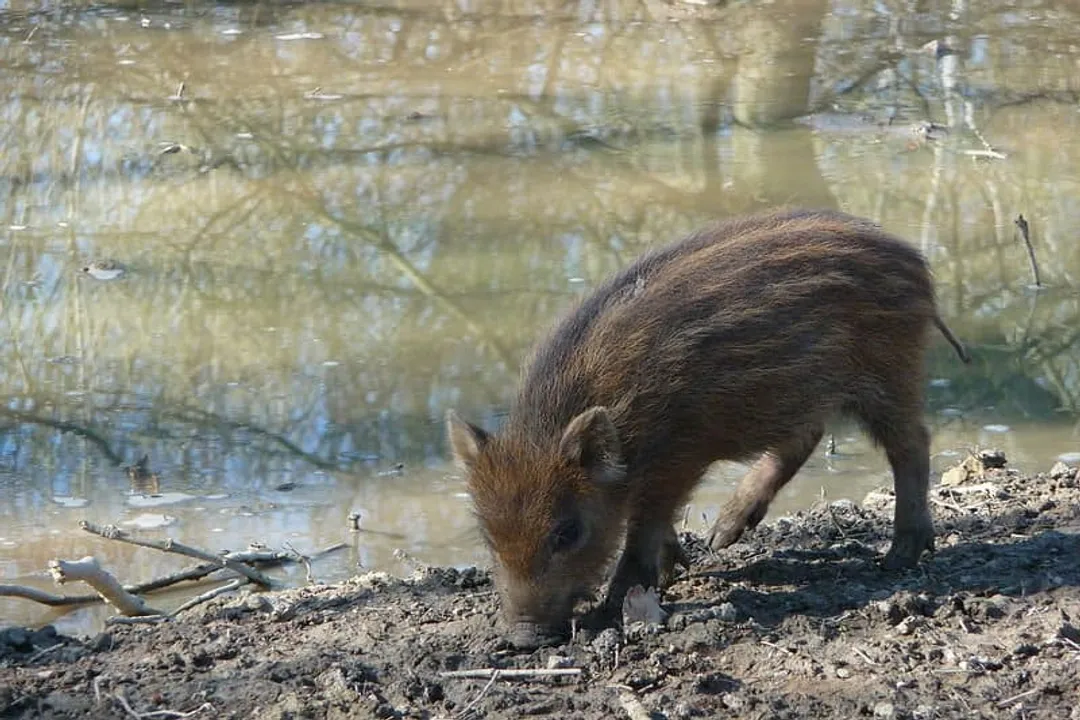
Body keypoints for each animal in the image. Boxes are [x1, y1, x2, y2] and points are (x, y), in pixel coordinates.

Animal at [446, 208, 970, 649]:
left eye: (567, 532)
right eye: (488, 535)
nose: (524, 640)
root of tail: (913, 259)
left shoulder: (677, 458)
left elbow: (643, 531)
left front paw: (614, 609)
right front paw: (677, 569)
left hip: (888, 373)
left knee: (912, 443)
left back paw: (901, 554)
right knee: (806, 439)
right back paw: (724, 533)